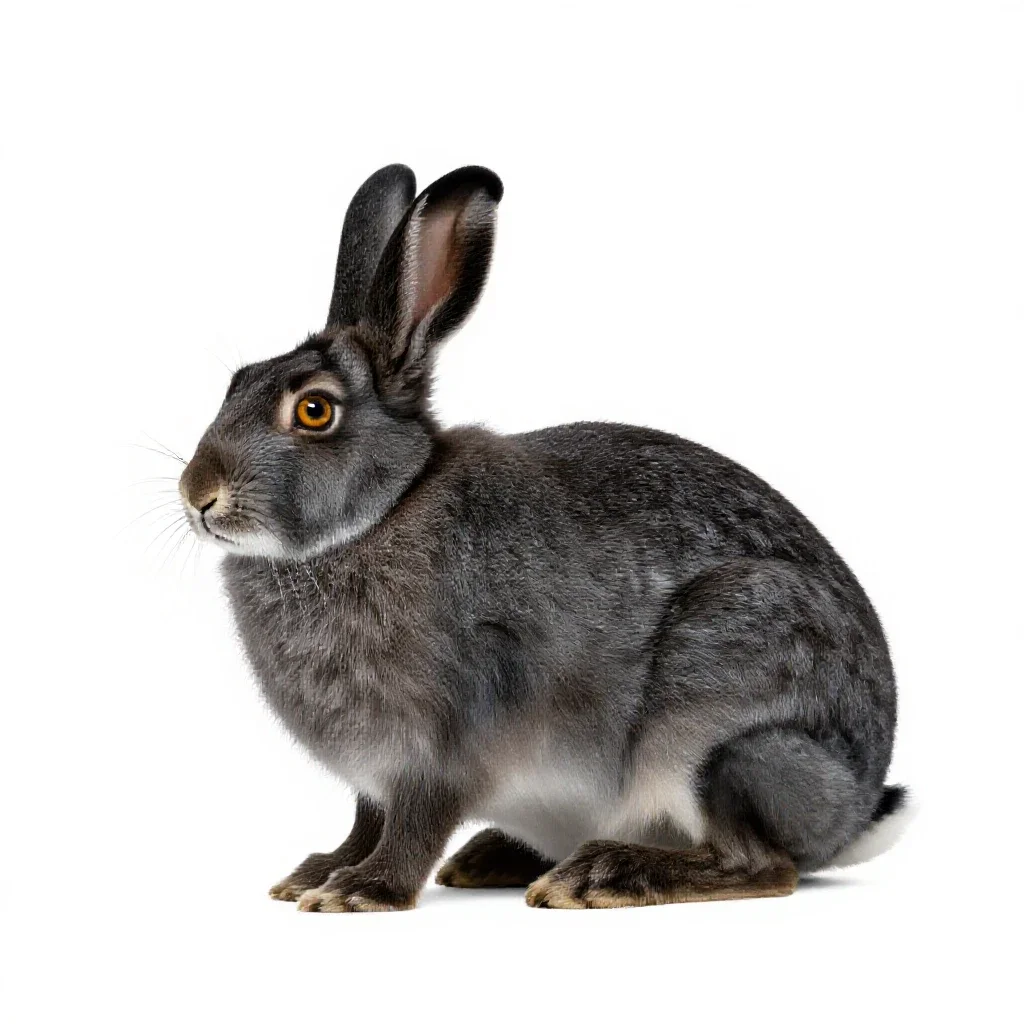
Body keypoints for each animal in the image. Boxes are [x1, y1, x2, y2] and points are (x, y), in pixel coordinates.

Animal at [179, 163, 911, 912]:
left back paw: (599, 875)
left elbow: (415, 823)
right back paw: (496, 859)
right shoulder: (373, 780)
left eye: (314, 410)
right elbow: (366, 821)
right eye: (237, 383)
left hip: (721, 728)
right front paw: (315, 874)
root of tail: (850, 815)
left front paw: (360, 892)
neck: (383, 510)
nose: (198, 494)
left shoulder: (446, 743)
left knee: (762, 865)